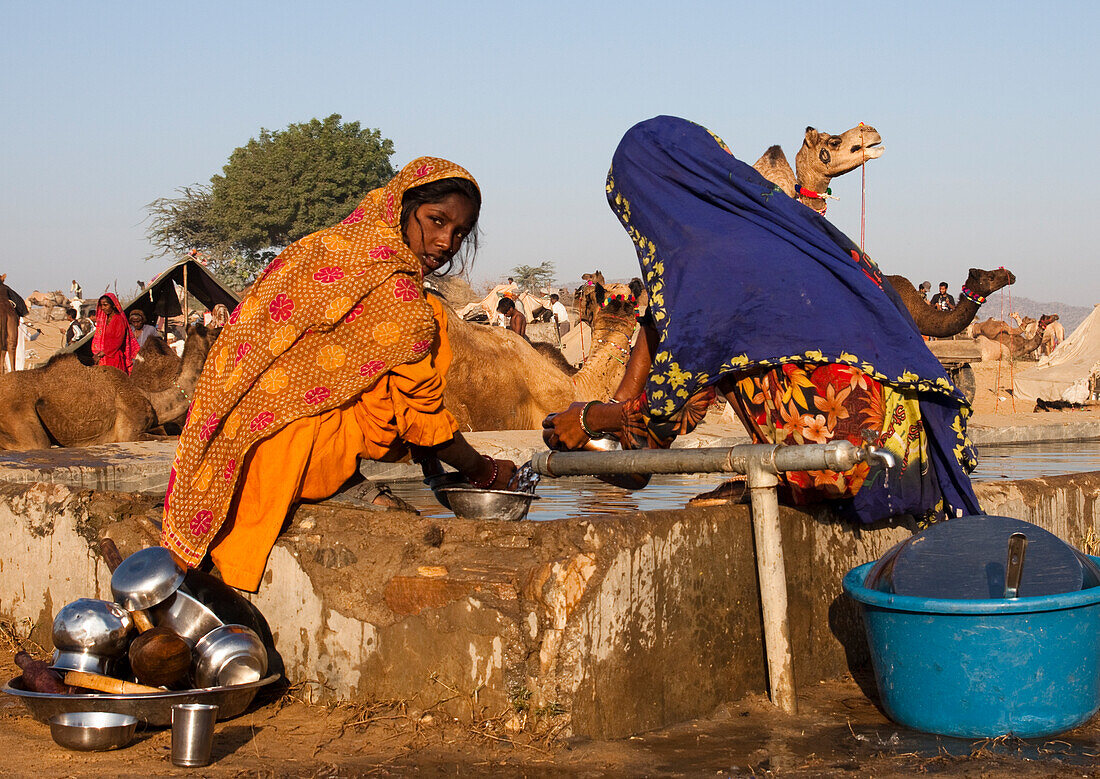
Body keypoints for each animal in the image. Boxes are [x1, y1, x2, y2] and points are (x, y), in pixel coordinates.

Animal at [0, 323, 220, 451]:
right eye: (212, 331)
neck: (152, 399)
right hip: (19, 415)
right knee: (37, 443)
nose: (222, 327)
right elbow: (173, 438)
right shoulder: (129, 433)